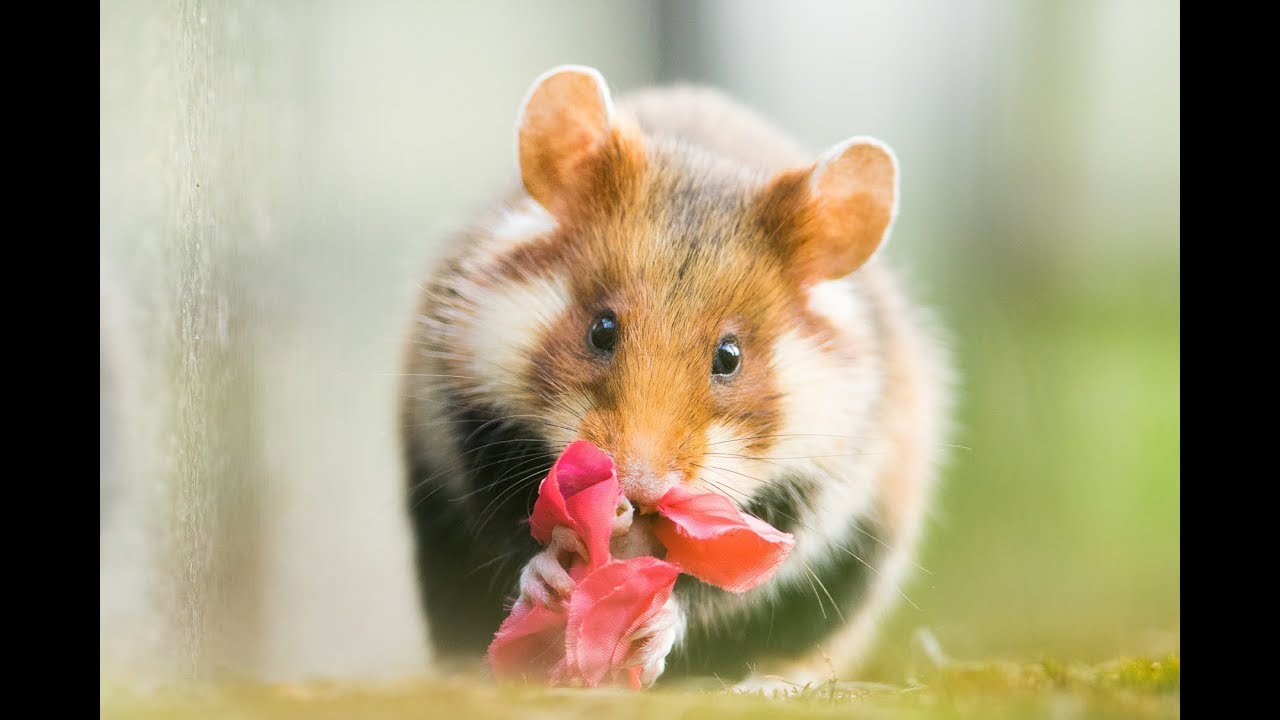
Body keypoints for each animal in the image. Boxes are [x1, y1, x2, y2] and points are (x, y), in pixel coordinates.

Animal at [400, 65, 950, 687]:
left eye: (729, 356)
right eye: (601, 329)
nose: (637, 490)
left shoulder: (818, 496)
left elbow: (715, 589)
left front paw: (656, 625)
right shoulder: (466, 419)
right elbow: (509, 532)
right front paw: (549, 576)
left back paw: (767, 685)